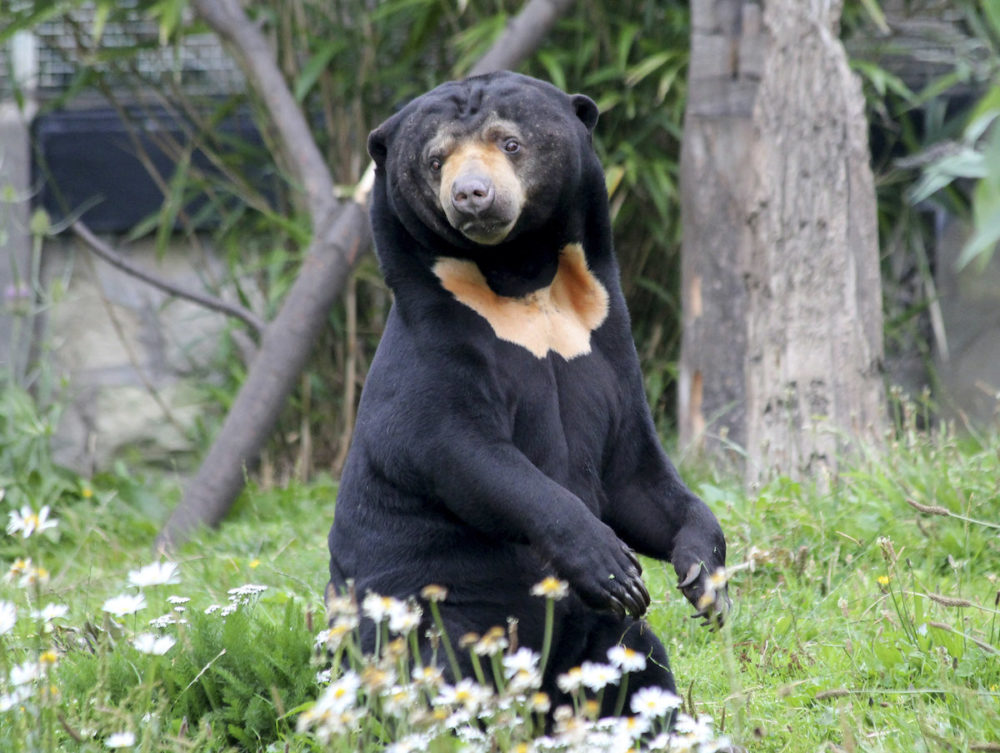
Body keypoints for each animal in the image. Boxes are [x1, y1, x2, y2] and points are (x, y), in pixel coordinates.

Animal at [328, 70, 728, 712]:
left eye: (509, 143)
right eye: (435, 159)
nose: (472, 195)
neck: (521, 281)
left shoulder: (607, 347)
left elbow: (636, 476)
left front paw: (704, 576)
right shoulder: (436, 348)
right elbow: (467, 454)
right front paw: (613, 568)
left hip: (606, 642)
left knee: (642, 681)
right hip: (434, 613)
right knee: (436, 678)